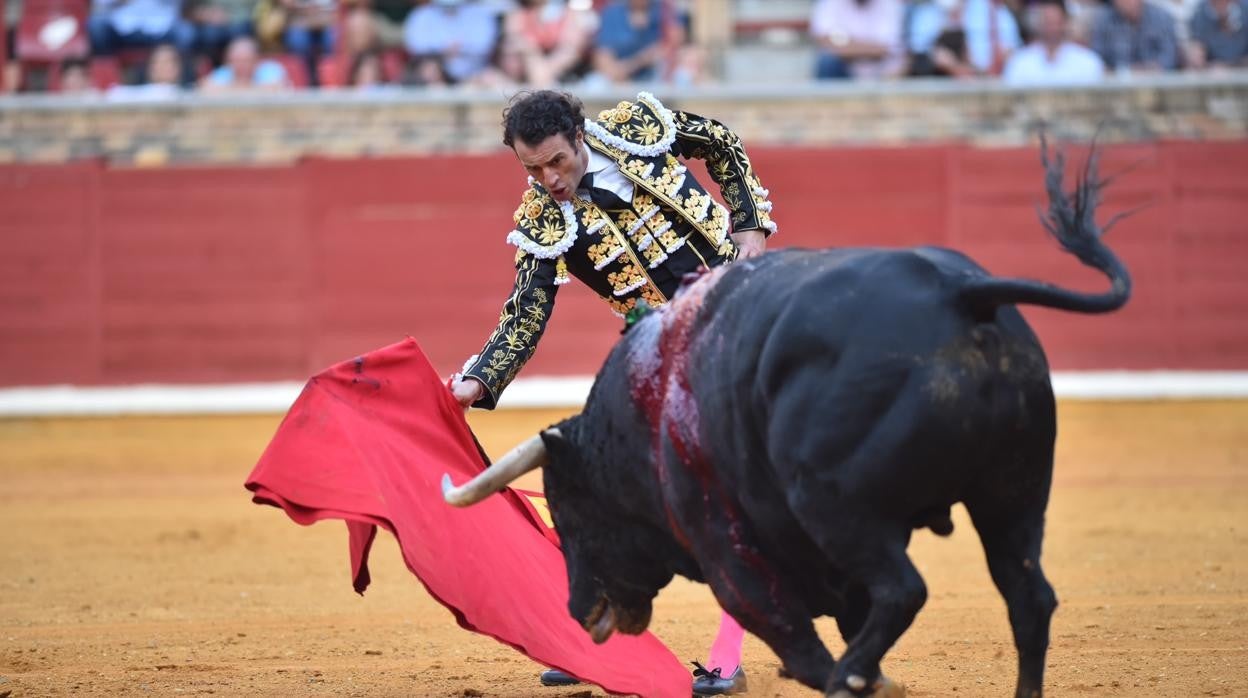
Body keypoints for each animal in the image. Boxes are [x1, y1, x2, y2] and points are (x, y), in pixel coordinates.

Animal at [446, 143, 1133, 698]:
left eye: (569, 509)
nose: (578, 609)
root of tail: (959, 295)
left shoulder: (728, 546)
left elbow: (798, 641)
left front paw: (850, 678)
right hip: (1013, 494)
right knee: (1028, 600)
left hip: (838, 506)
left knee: (903, 592)